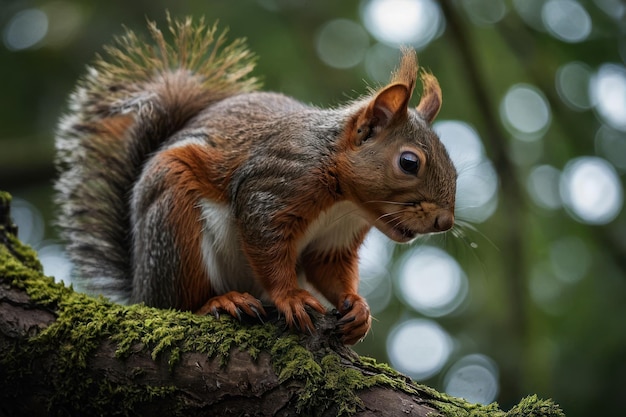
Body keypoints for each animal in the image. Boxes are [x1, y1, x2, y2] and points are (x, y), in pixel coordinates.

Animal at [54, 15, 454, 344]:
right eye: (409, 162)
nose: (445, 222)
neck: (344, 202)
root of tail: (140, 287)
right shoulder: (271, 187)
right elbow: (266, 245)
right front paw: (290, 297)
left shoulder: (336, 238)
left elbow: (328, 268)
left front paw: (358, 307)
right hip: (173, 221)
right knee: (177, 302)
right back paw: (220, 302)